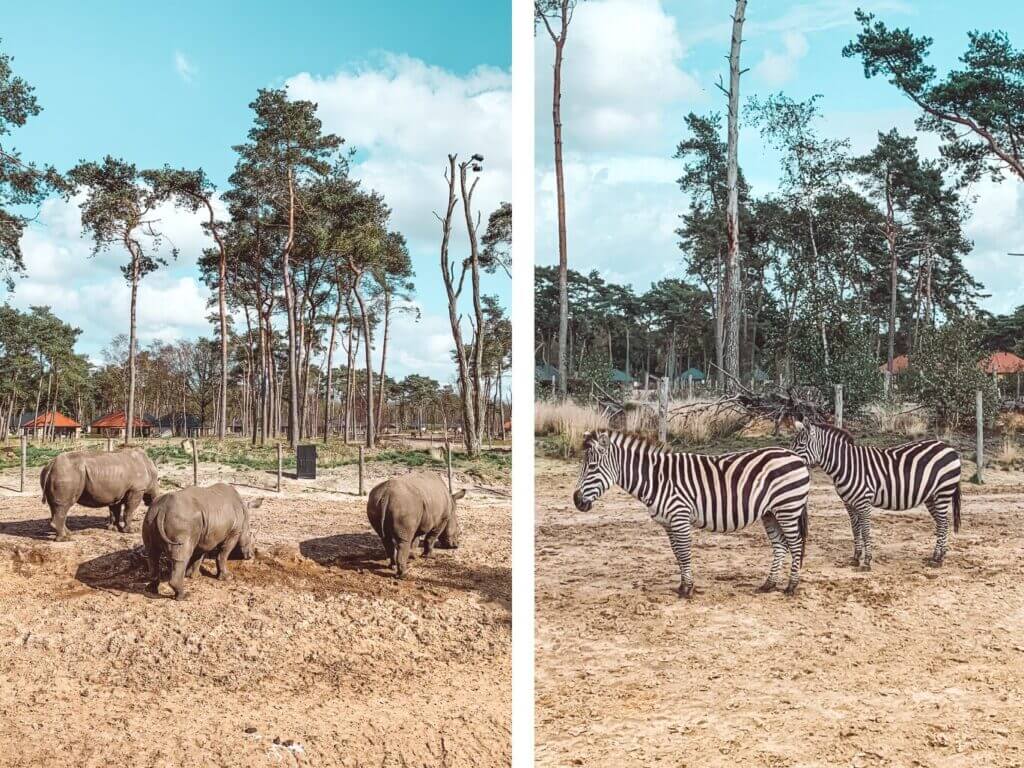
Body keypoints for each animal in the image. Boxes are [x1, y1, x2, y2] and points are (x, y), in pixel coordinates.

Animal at [573, 430, 811, 598]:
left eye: (592, 467)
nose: (576, 501)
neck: (656, 479)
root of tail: (795, 457)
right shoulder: (668, 523)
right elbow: (678, 553)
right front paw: (682, 586)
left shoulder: (680, 517)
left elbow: (685, 553)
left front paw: (688, 589)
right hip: (771, 513)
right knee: (780, 545)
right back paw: (769, 584)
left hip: (788, 508)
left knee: (796, 544)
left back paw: (791, 587)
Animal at [786, 421, 962, 573]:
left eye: (801, 445)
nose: (791, 462)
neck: (846, 466)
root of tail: (949, 448)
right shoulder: (849, 503)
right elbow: (855, 529)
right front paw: (856, 558)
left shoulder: (863, 502)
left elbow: (865, 530)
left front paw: (866, 562)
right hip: (931, 497)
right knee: (941, 523)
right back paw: (937, 555)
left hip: (943, 492)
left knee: (943, 523)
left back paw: (938, 560)